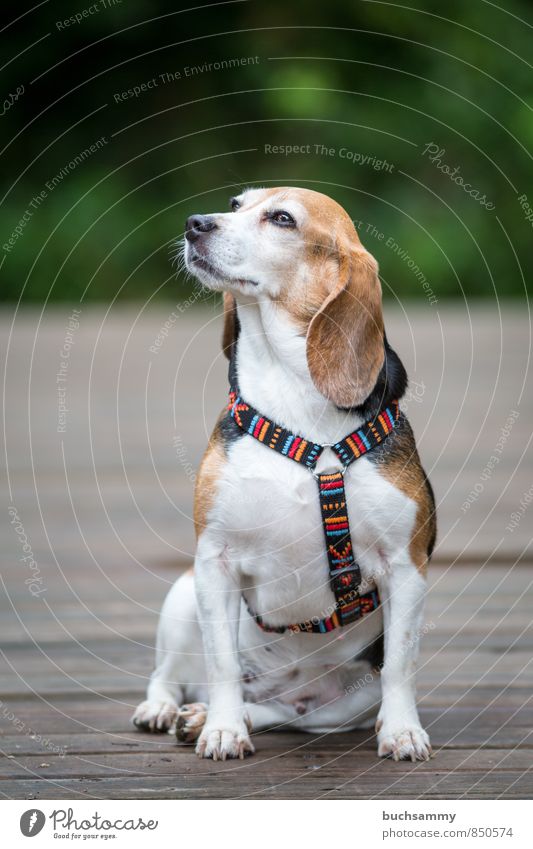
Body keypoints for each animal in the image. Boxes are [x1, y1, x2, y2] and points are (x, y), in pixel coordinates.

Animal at [133, 186, 436, 760]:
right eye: (236, 203)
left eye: (281, 219)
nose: (194, 223)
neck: (292, 393)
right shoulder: (215, 561)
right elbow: (222, 664)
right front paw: (223, 731)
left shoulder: (405, 569)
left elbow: (401, 667)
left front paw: (404, 731)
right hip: (184, 594)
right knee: (174, 676)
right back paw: (175, 711)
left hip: (340, 707)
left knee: (286, 714)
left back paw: (208, 716)